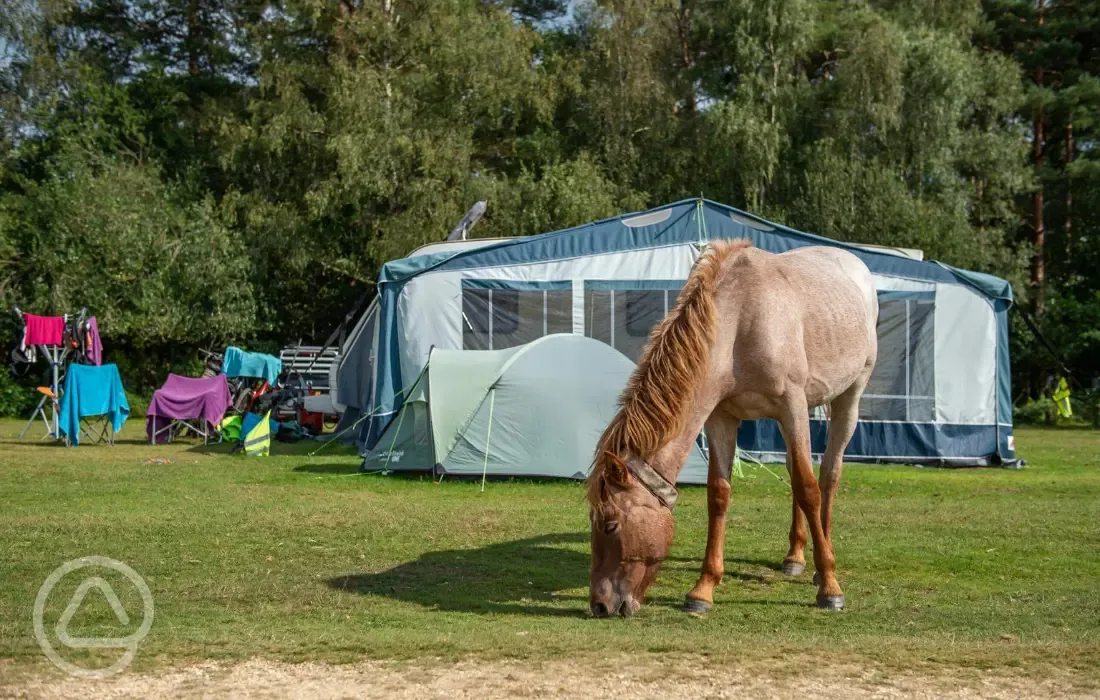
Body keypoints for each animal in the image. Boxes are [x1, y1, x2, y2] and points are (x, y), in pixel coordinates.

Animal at [589, 241, 880, 616]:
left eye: (610, 525)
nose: (600, 605)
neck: (740, 323)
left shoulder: (792, 405)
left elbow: (809, 489)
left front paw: (830, 586)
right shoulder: (721, 417)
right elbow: (719, 494)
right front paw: (703, 590)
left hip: (848, 398)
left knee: (829, 474)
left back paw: (821, 559)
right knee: (794, 471)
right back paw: (795, 557)